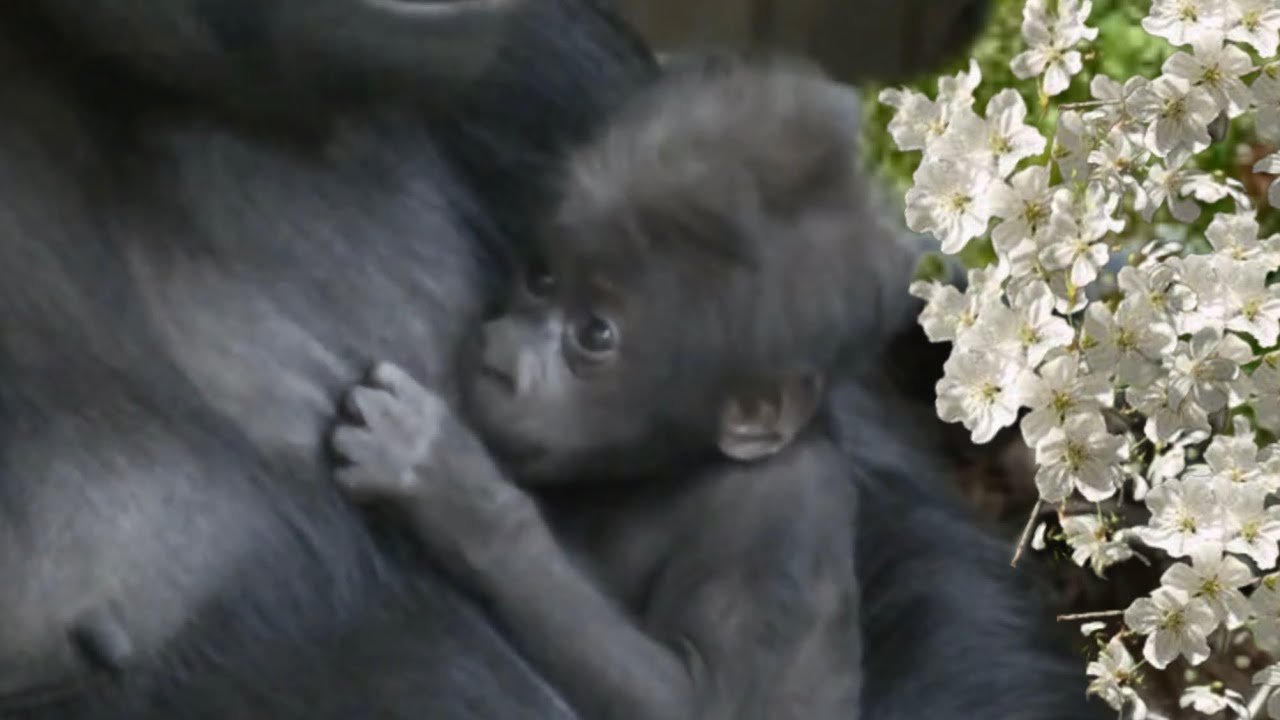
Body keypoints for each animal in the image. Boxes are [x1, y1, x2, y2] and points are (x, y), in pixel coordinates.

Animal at [327, 59, 877, 720]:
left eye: (595, 333)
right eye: (541, 277)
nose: (503, 350)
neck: (674, 463)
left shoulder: (782, 507)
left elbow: (699, 700)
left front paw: (451, 484)